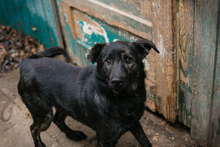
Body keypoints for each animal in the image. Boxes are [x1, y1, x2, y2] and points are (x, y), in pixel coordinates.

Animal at [17, 39, 158, 147]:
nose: (116, 82)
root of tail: (27, 62)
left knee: (58, 120)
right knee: (33, 129)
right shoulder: (105, 140)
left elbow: (146, 142)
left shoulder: (135, 124)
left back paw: (73, 134)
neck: (123, 98)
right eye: (108, 61)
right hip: (44, 114)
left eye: (128, 60)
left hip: (65, 106)